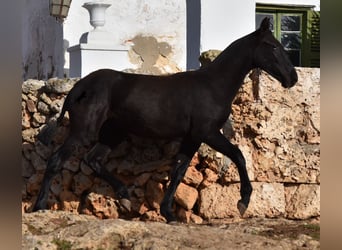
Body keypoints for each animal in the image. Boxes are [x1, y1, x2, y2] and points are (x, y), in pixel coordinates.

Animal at [33, 17, 298, 222]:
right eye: (272, 46)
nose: (292, 78)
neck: (214, 86)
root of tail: (80, 87)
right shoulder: (208, 133)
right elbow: (238, 155)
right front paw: (244, 200)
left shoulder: (192, 138)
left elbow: (179, 171)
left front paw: (168, 213)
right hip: (84, 131)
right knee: (57, 160)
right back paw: (40, 205)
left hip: (112, 133)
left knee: (93, 160)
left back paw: (124, 194)